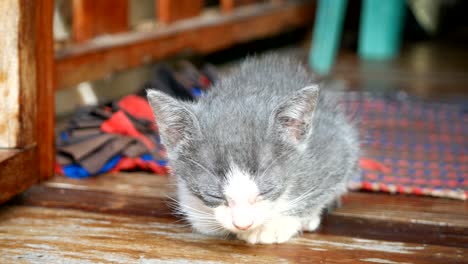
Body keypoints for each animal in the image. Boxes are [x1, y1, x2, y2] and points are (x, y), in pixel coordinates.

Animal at [146, 54, 358, 244]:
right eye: (214, 195)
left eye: (266, 190)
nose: (243, 224)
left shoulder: (335, 146)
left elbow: (320, 188)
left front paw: (276, 224)